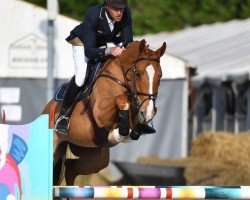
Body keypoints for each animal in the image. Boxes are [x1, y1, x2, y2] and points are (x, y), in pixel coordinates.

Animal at [41, 39, 166, 186]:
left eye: (160, 76)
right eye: (138, 74)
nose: (148, 113)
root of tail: (46, 109)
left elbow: (134, 123)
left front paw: (126, 132)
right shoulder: (101, 112)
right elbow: (121, 100)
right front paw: (118, 133)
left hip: (93, 155)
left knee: (71, 168)